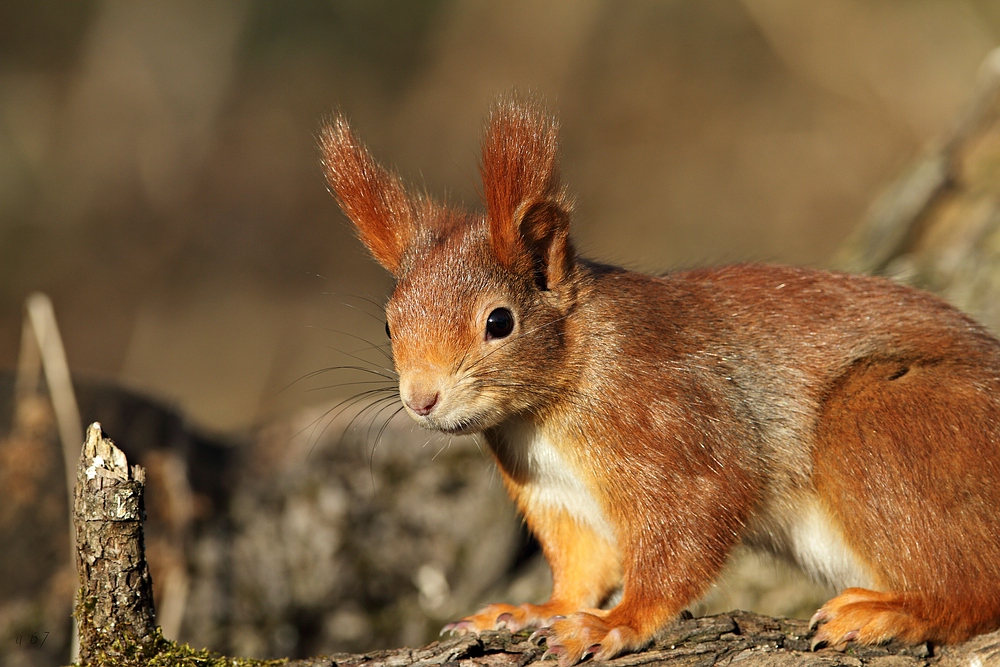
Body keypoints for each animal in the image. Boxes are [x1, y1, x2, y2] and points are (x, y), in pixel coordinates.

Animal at [318, 96, 1000, 664]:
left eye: (499, 321)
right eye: (388, 323)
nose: (421, 399)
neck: (545, 410)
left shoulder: (674, 424)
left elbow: (689, 530)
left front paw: (615, 623)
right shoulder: (558, 496)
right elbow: (581, 566)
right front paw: (535, 609)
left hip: (883, 422)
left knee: (975, 590)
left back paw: (896, 612)